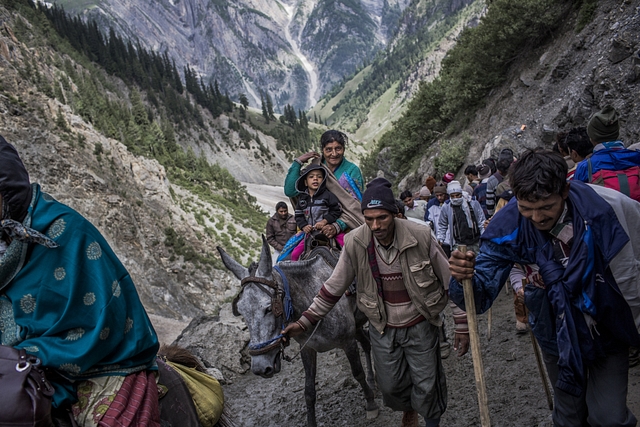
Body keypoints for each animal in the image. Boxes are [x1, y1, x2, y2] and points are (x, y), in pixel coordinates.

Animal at [220, 237, 380, 427]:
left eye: (269, 308)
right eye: (241, 312)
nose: (260, 368)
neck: (312, 301)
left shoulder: (348, 342)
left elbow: (357, 373)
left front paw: (371, 404)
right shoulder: (308, 349)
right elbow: (309, 391)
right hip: (356, 327)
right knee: (366, 343)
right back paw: (373, 381)